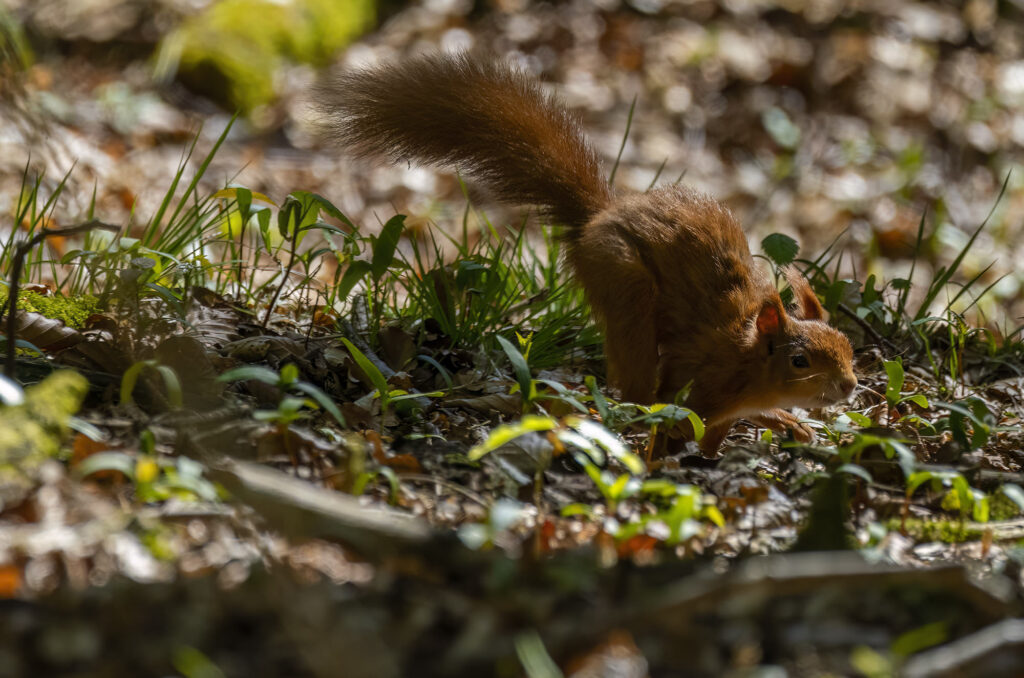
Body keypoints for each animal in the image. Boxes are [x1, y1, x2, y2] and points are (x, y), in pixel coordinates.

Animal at [318, 52, 857, 454]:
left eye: (849, 348)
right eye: (800, 361)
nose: (850, 386)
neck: (749, 360)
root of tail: (598, 219)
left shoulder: (727, 408)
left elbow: (718, 436)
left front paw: (778, 425)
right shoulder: (704, 386)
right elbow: (681, 422)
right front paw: (670, 456)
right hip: (624, 282)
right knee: (640, 391)